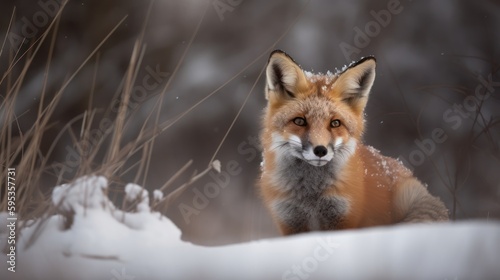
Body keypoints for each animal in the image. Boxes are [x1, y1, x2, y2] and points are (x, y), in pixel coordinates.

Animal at [260, 49, 448, 234]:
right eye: (299, 121)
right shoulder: (290, 219)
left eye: (335, 123)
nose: (320, 150)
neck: (311, 195)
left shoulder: (343, 217)